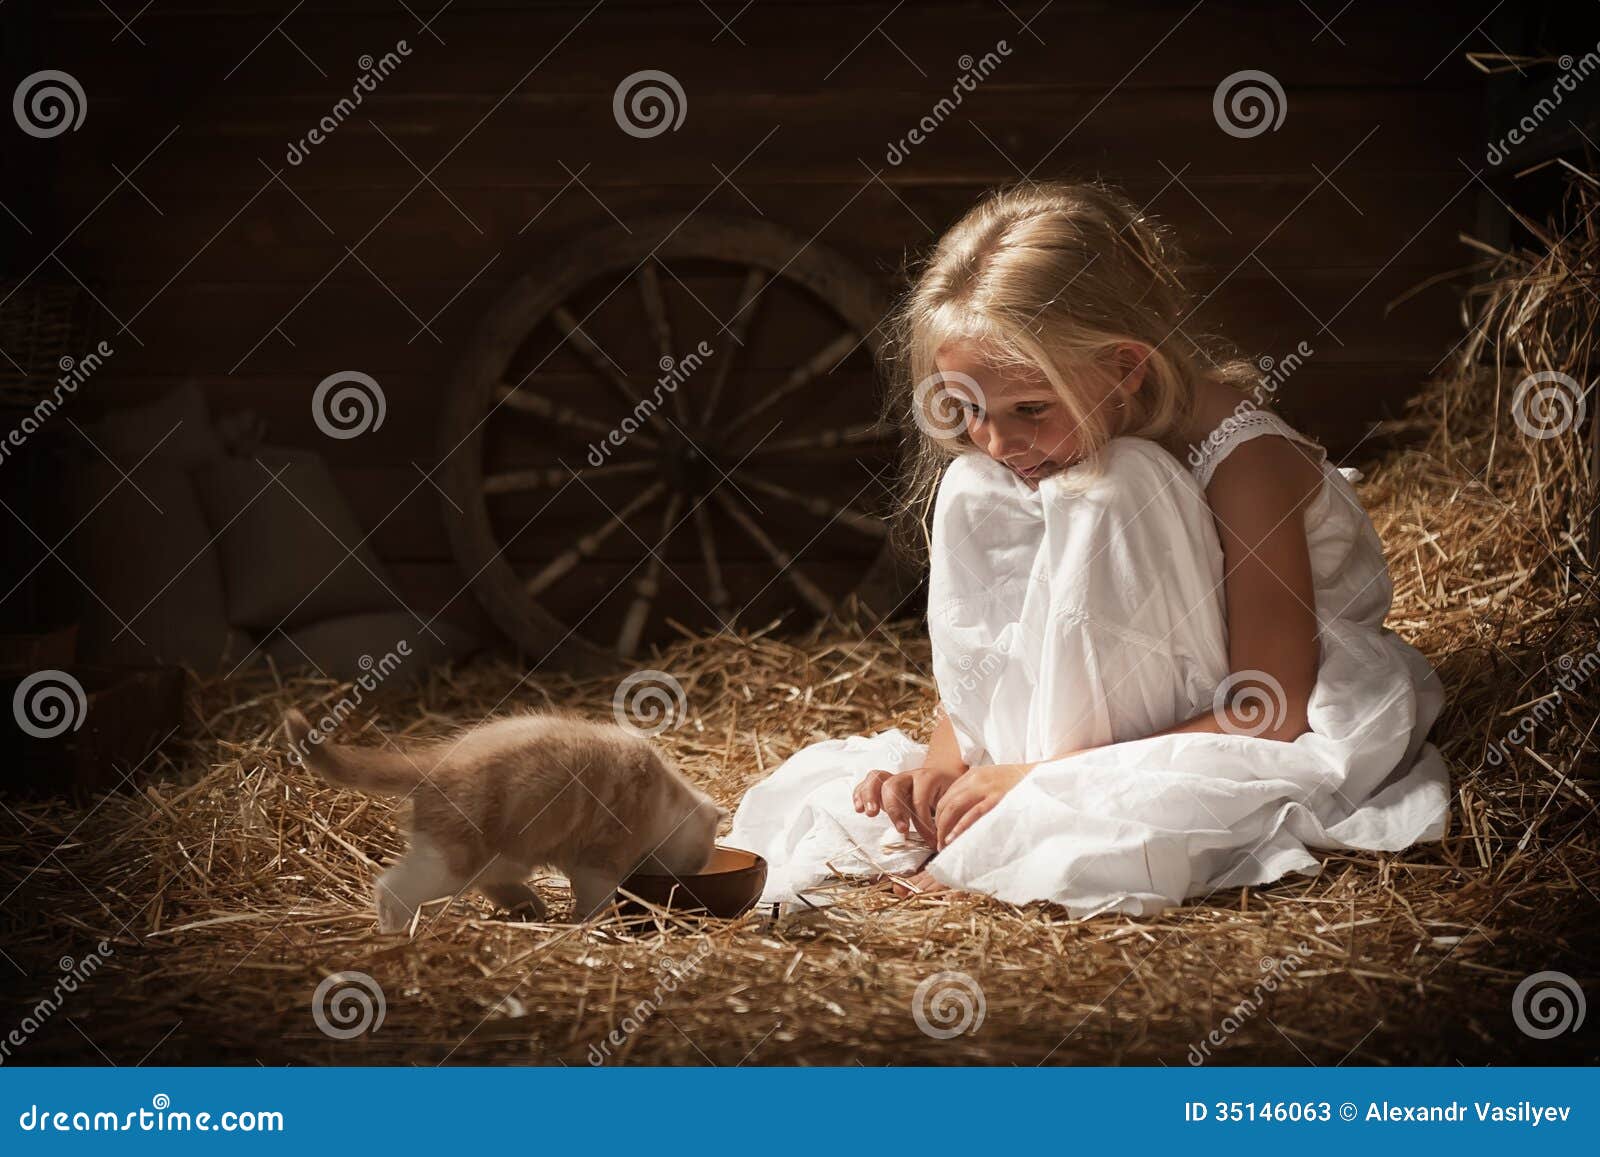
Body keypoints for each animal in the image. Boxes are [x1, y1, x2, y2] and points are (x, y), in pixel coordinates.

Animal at [281, 707, 720, 934]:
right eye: (698, 861)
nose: (692, 874)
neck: (665, 800)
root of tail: (434, 764)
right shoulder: (598, 860)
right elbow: (595, 899)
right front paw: (591, 925)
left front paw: (539, 911)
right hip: (452, 860)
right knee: (392, 888)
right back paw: (397, 932)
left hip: (493, 854)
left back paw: (528, 907)